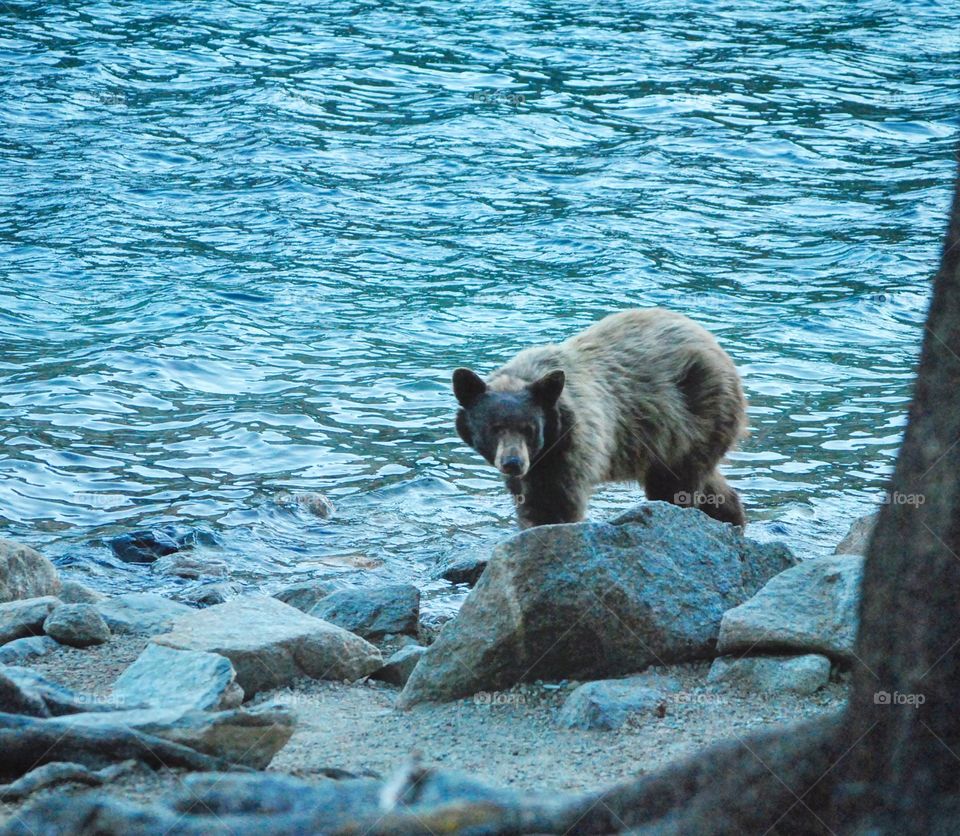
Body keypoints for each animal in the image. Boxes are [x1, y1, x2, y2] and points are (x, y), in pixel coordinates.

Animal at [452, 308, 747, 528]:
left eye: (530, 428)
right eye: (494, 427)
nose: (513, 463)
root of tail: (714, 344)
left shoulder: (573, 444)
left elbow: (555, 502)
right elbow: (527, 497)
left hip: (694, 418)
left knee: (675, 485)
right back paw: (731, 516)